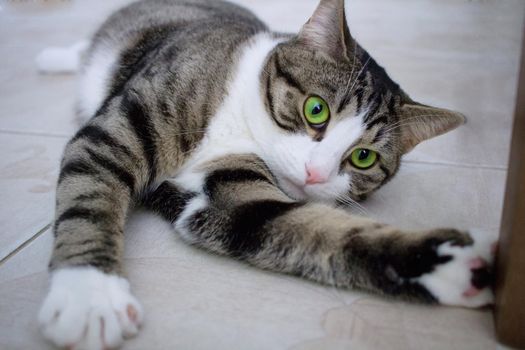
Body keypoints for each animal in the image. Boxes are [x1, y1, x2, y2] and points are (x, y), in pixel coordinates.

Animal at [39, 0, 494, 348]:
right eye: (316, 109)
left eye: (363, 158)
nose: (315, 173)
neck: (239, 116)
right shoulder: (125, 126)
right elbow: (91, 196)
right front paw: (89, 296)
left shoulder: (234, 192)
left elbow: (296, 224)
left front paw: (447, 264)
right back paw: (55, 57)